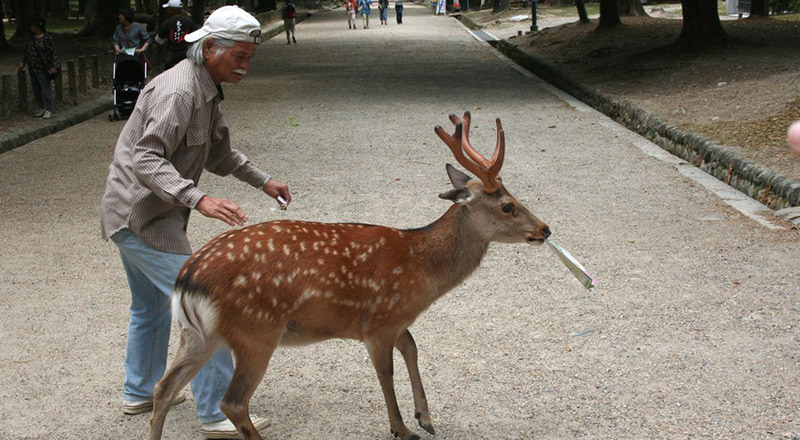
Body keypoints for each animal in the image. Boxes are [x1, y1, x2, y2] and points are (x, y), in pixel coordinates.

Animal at [148, 111, 552, 438]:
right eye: (507, 205)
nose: (545, 229)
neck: (419, 270)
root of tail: (187, 279)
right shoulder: (377, 321)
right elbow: (386, 373)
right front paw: (403, 428)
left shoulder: (394, 320)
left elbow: (412, 347)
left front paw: (425, 417)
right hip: (256, 331)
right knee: (232, 402)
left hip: (199, 335)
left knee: (164, 387)